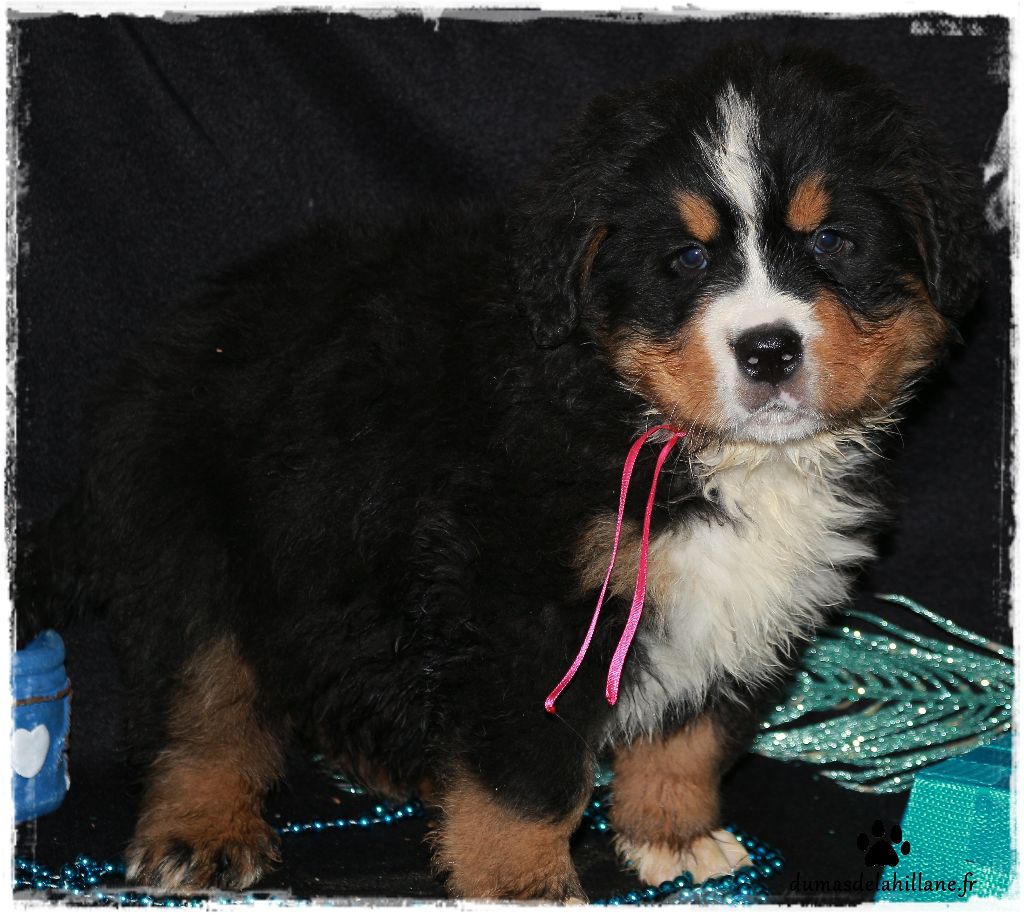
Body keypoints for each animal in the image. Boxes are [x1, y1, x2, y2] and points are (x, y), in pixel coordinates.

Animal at [16, 44, 981, 900]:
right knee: (202, 705)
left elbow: (693, 732)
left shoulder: (750, 597)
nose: (770, 349)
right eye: (687, 259)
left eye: (835, 241)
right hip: (193, 543)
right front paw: (523, 883)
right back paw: (202, 830)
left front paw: (672, 832)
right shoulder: (515, 599)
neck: (646, 417)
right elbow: (526, 775)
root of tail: (158, 353)